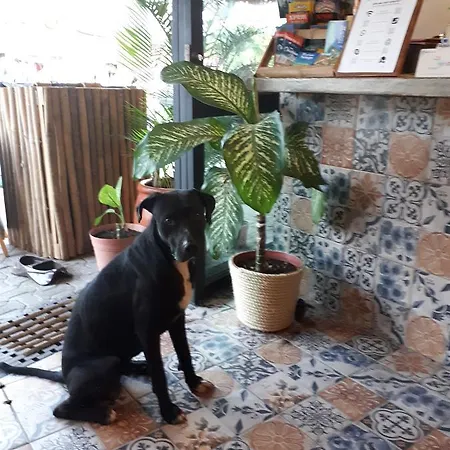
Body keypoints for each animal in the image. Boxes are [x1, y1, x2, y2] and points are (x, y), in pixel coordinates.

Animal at [0, 189, 216, 425]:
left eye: (197, 214)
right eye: (168, 220)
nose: (190, 247)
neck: (169, 260)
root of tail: (65, 376)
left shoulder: (177, 321)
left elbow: (185, 355)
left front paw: (194, 383)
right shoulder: (147, 331)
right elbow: (160, 377)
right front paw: (168, 412)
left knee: (125, 367)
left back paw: (141, 367)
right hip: (105, 364)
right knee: (61, 409)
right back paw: (103, 413)